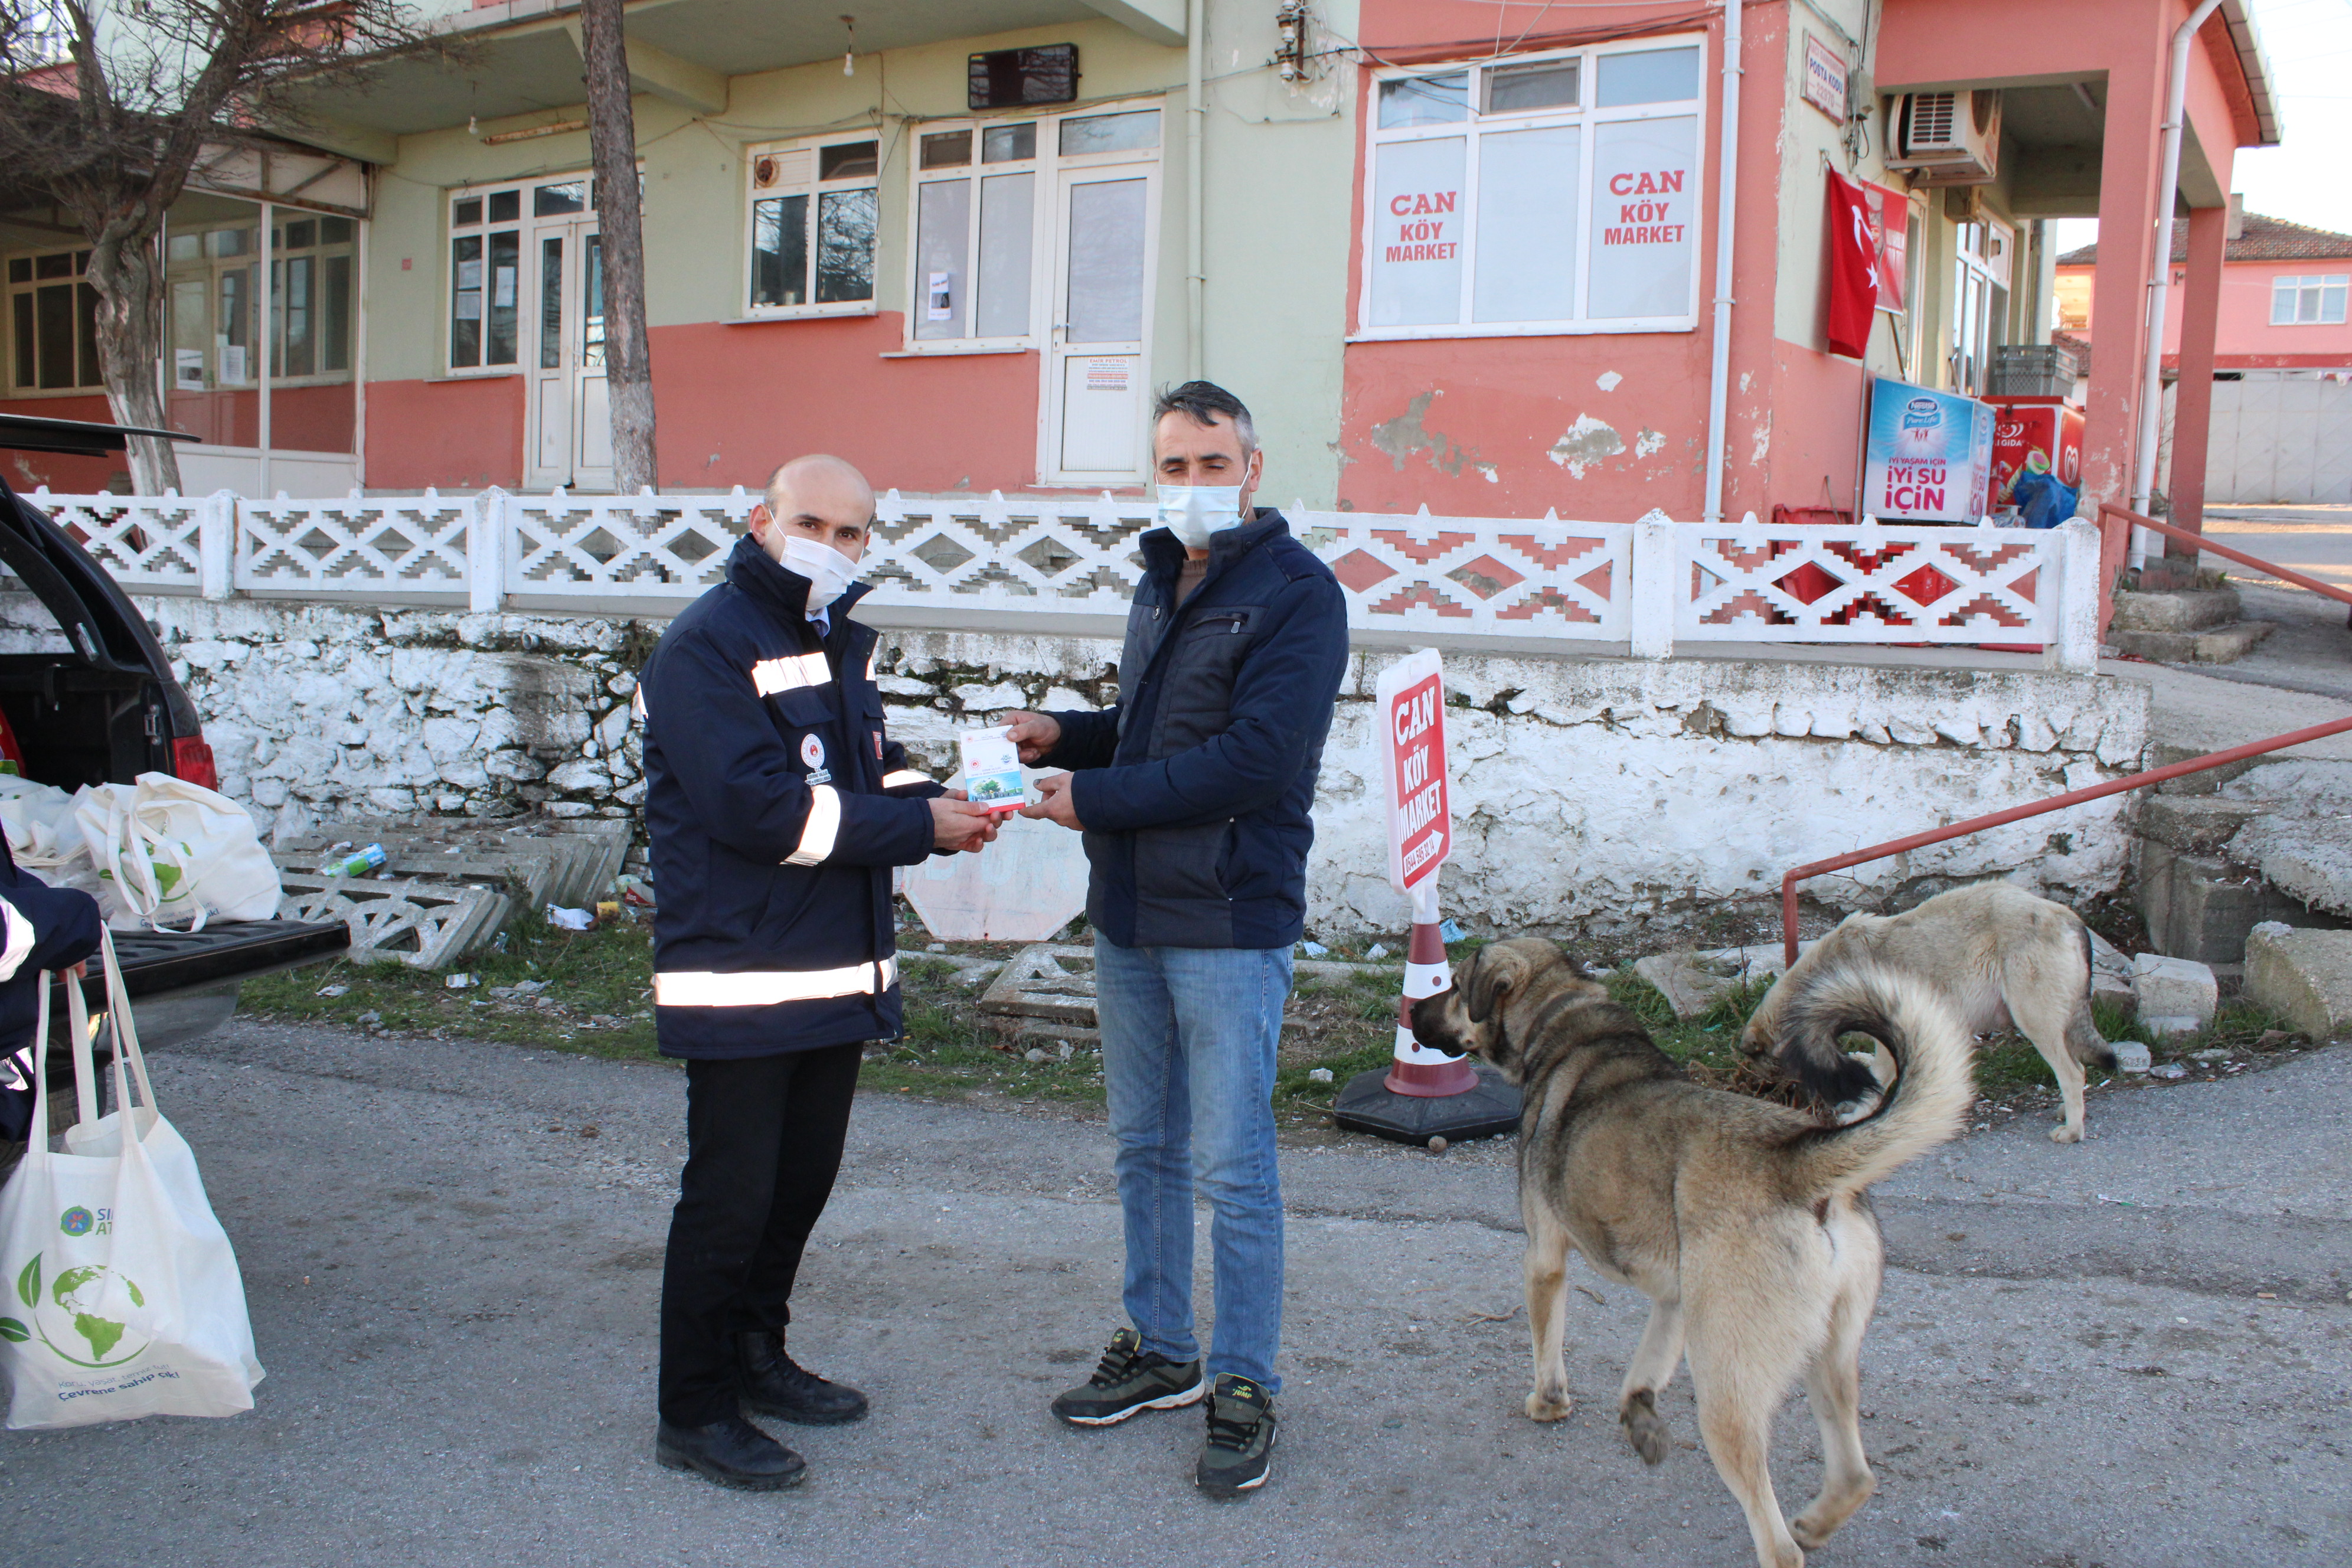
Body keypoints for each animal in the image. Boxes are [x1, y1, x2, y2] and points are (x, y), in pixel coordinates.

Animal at [1402, 945, 1975, 1568]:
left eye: (1456, 986)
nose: (1410, 1012)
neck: (1563, 1016)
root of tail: (1797, 1165)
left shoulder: (1544, 1259)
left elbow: (1548, 1350)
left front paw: (1547, 1404)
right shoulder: (1675, 1300)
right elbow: (1644, 1371)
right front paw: (1641, 1420)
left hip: (1726, 1393)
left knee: (1778, 1543)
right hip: (1829, 1360)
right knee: (1855, 1478)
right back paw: (1816, 1522)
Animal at [1750, 884, 2116, 1142]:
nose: (1770, 1096)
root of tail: (2070, 917)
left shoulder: (1889, 1038)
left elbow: (1878, 1082)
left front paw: (1857, 1116)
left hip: (2035, 1022)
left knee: (2073, 1073)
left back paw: (2073, 1131)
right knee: (2076, 1070)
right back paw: (2068, 1112)